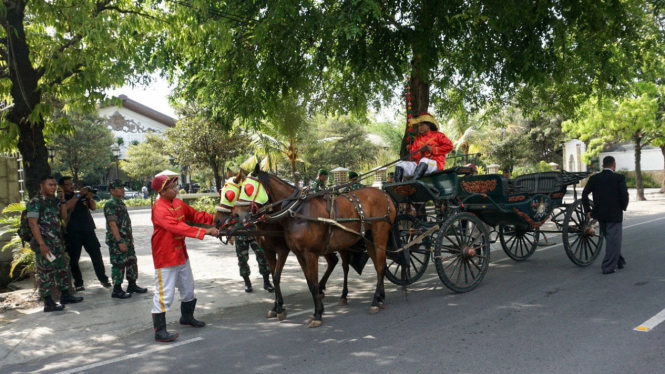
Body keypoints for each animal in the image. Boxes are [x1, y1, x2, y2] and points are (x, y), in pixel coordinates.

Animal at [214, 171, 350, 320]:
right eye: (221, 192)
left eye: (230, 194)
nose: (217, 220)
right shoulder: (268, 251)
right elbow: (274, 274)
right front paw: (276, 306)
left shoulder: (283, 250)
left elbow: (276, 276)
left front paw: (279, 307)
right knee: (333, 260)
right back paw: (320, 289)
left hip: (340, 243)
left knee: (344, 265)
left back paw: (342, 294)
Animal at [235, 166, 394, 328]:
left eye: (248, 189)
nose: (236, 214)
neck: (296, 211)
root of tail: (383, 194)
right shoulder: (298, 254)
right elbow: (309, 282)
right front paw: (317, 309)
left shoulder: (308, 254)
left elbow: (312, 284)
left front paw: (317, 314)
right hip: (367, 238)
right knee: (378, 264)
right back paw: (380, 298)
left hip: (379, 235)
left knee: (379, 268)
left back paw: (375, 301)